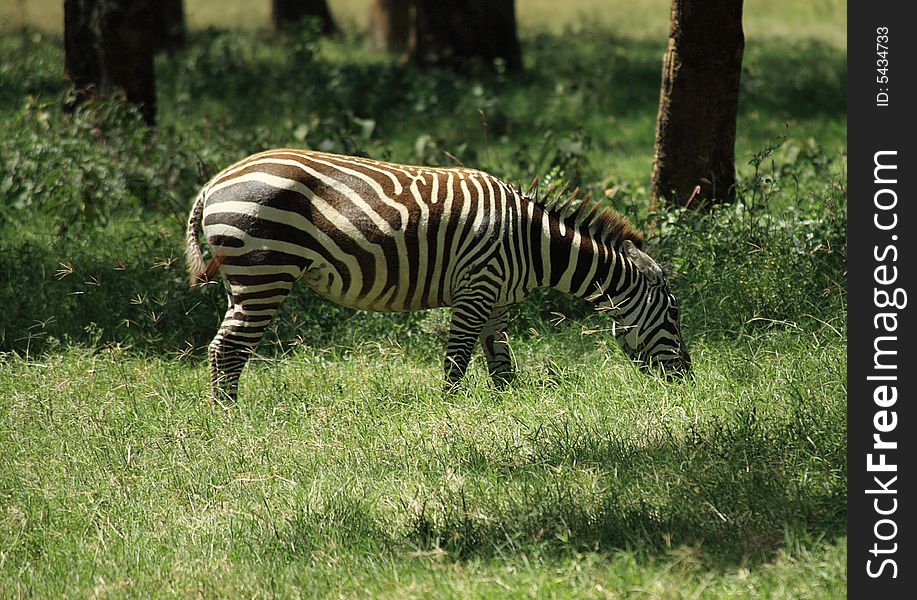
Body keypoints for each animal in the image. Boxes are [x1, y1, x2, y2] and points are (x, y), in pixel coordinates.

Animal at [186, 149, 688, 404]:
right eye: (674, 316)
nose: (687, 377)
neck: (534, 244)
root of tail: (214, 182)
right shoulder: (477, 289)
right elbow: (457, 361)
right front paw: (450, 414)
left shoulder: (497, 300)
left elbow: (500, 362)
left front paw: (510, 410)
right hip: (265, 272)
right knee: (227, 348)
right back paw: (228, 416)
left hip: (243, 280)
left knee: (223, 345)